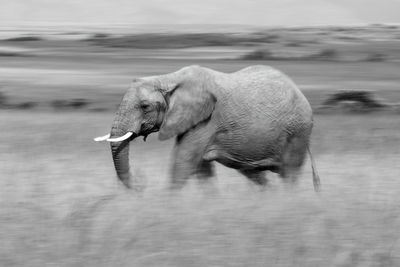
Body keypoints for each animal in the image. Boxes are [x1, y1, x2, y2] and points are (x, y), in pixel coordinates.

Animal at [95, 64, 320, 192]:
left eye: (144, 106)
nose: (143, 181)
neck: (168, 78)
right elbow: (201, 169)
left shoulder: (207, 120)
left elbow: (183, 162)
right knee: (256, 174)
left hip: (297, 132)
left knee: (289, 174)